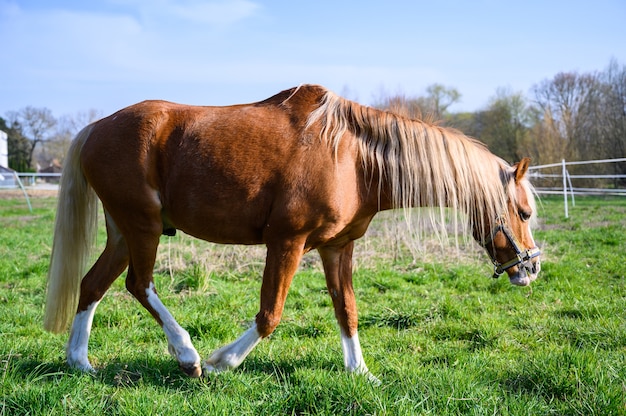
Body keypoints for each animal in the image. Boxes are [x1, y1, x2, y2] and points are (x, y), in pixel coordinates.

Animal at [44, 83, 540, 380]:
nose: (531, 268)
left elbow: (347, 311)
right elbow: (270, 315)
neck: (351, 158)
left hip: (123, 233)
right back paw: (187, 355)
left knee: (92, 285)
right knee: (139, 284)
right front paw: (223, 361)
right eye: (524, 212)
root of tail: (95, 128)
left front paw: (360, 372)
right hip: (142, 226)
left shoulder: (337, 248)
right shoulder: (287, 242)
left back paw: (80, 362)